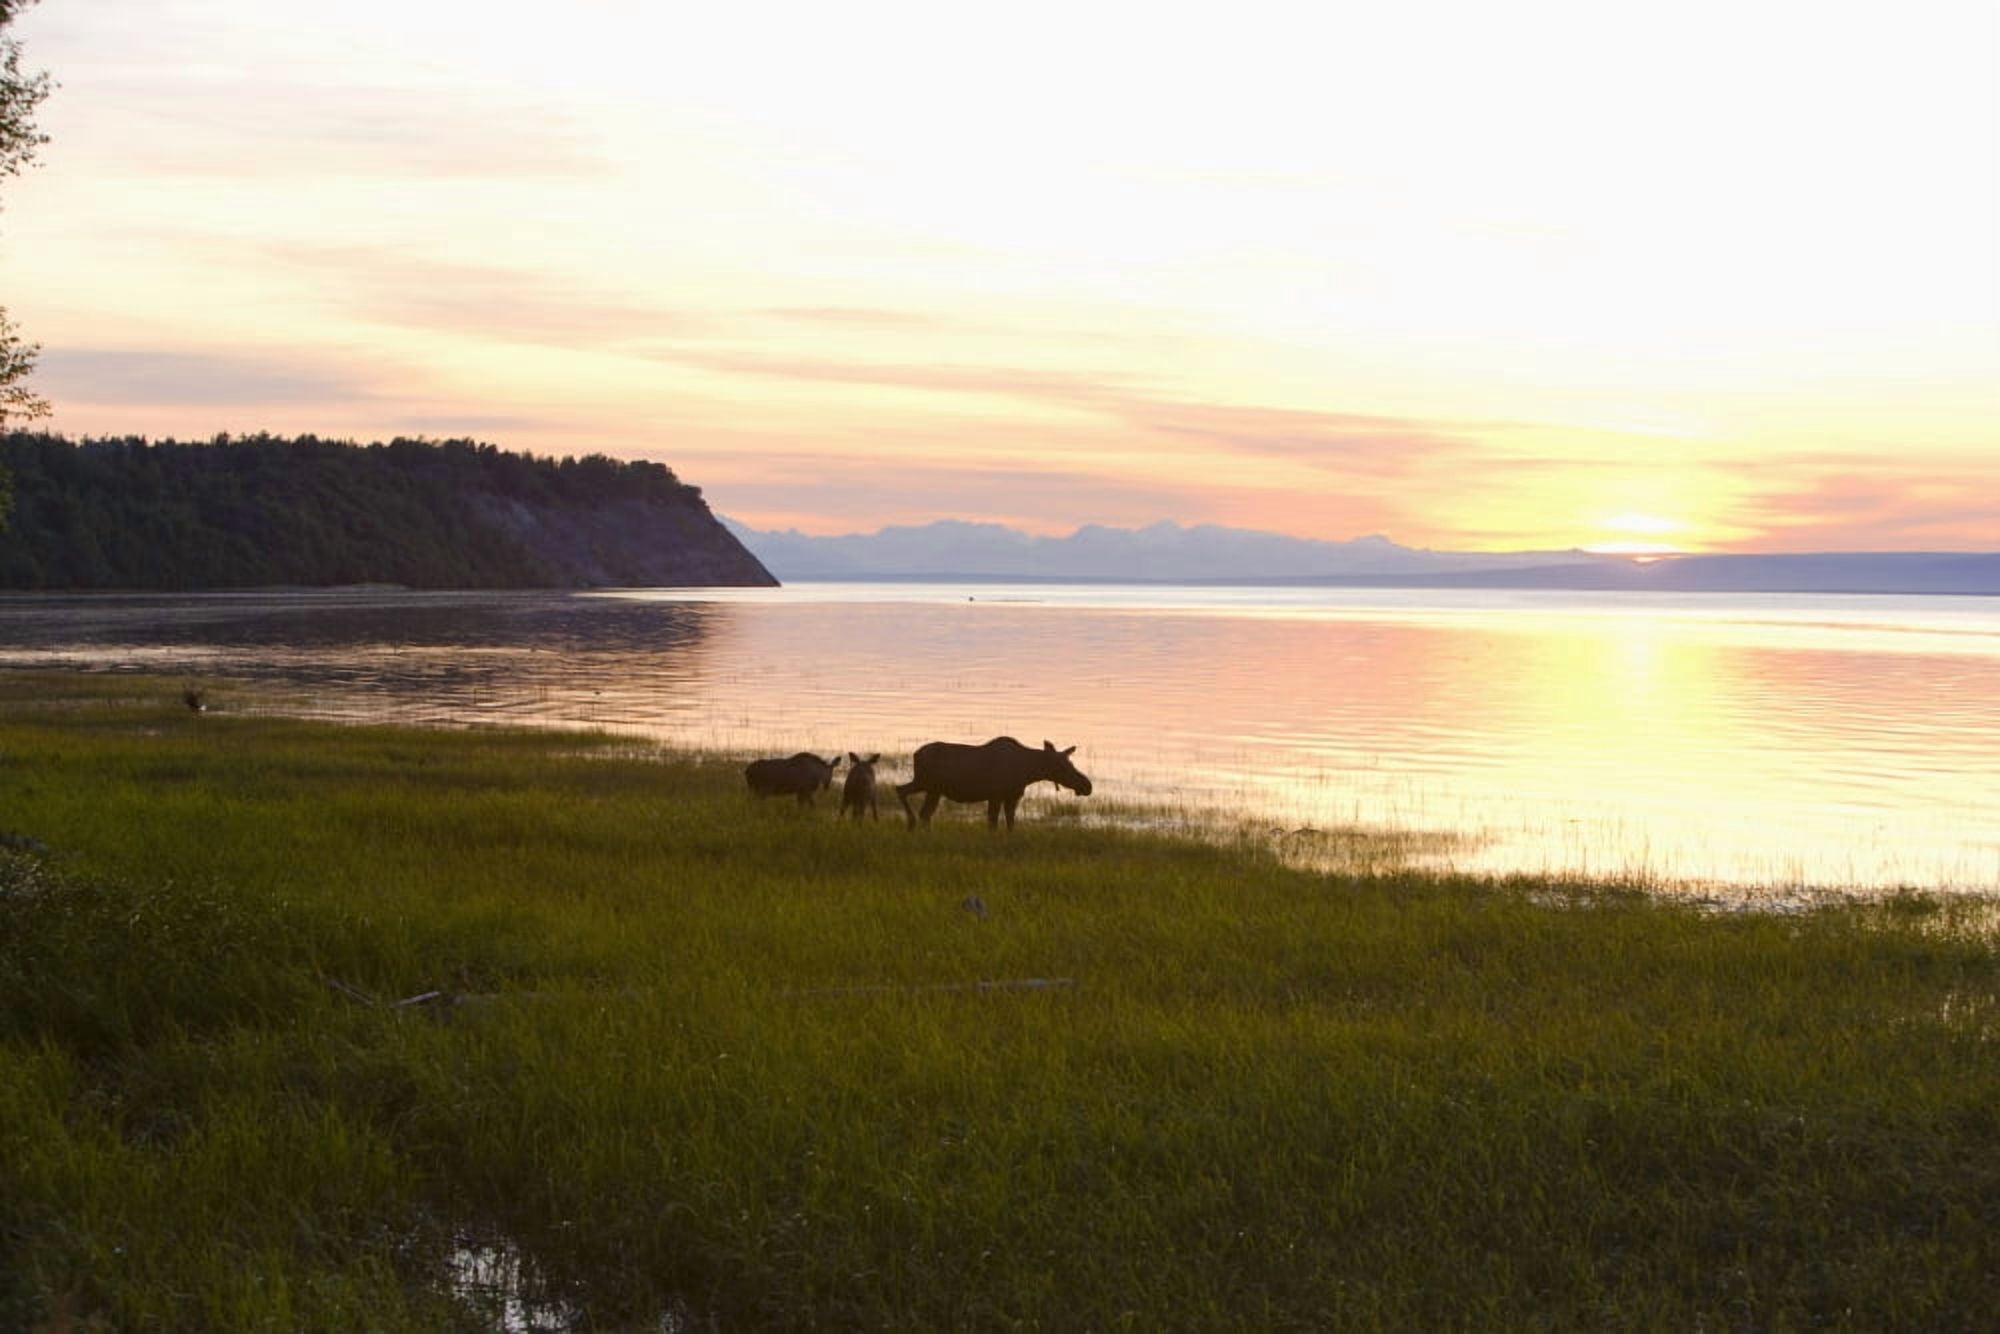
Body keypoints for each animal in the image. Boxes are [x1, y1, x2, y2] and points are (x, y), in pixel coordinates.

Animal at [895, 737, 1093, 830]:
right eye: (1063, 765)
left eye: (1070, 763)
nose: (1087, 786)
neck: (1028, 772)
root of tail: (915, 754)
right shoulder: (996, 796)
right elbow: (993, 824)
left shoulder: (1012, 797)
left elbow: (1010, 824)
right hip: (927, 784)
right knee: (904, 794)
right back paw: (911, 824)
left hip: (931, 789)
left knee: (921, 810)